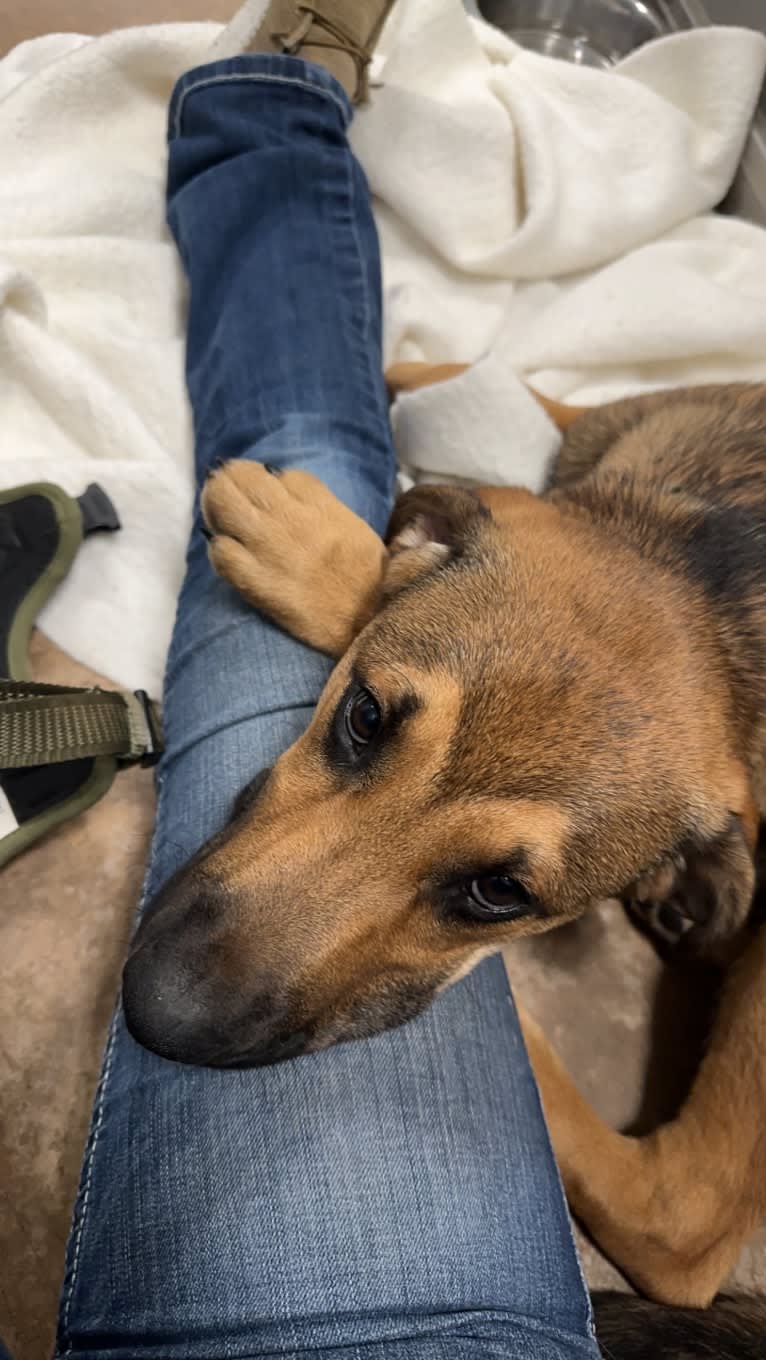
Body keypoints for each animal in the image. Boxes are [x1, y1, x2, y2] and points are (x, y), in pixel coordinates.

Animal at [123, 369, 766, 1349]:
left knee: (678, 1213)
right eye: (364, 716)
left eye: (500, 890)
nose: (157, 1011)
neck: (711, 573)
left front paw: (310, 543)